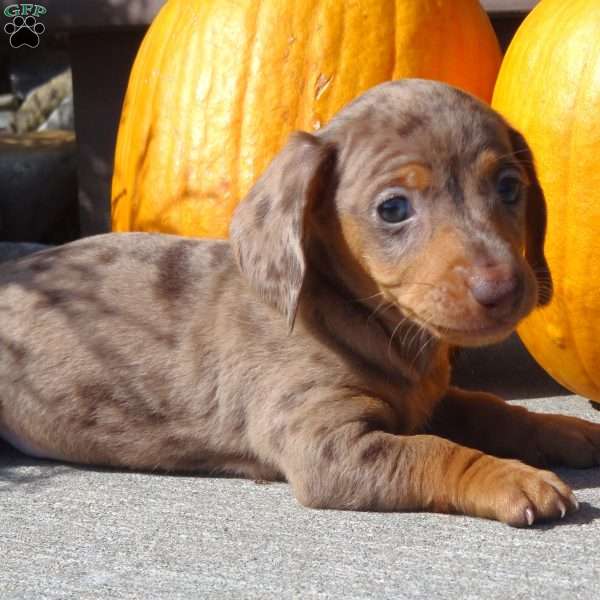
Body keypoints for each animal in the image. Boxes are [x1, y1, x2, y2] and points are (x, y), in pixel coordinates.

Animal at [1, 81, 600, 524]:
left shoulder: (430, 402)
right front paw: (511, 476)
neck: (368, 324)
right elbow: (436, 451)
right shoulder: (328, 445)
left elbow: (495, 409)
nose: (503, 288)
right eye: (393, 208)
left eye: (508, 187)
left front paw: (568, 431)